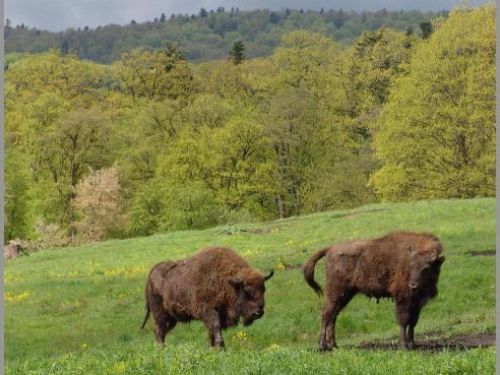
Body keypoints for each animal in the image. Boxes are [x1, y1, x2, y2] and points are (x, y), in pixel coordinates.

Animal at [140, 247, 274, 350]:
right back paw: (161, 349)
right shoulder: (209, 311)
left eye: (263, 289)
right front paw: (221, 348)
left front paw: (212, 348)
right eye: (247, 290)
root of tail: (151, 275)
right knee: (159, 330)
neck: (228, 282)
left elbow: (212, 332)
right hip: (160, 314)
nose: (258, 313)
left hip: (171, 318)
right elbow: (215, 327)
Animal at [302, 232, 444, 352]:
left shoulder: (417, 303)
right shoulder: (403, 299)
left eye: (426, 268)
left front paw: (413, 344)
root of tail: (330, 249)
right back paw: (322, 345)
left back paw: (333, 345)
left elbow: (413, 323)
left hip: (345, 294)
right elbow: (404, 321)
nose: (413, 285)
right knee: (326, 314)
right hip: (335, 291)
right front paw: (404, 345)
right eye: (411, 265)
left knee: (333, 315)